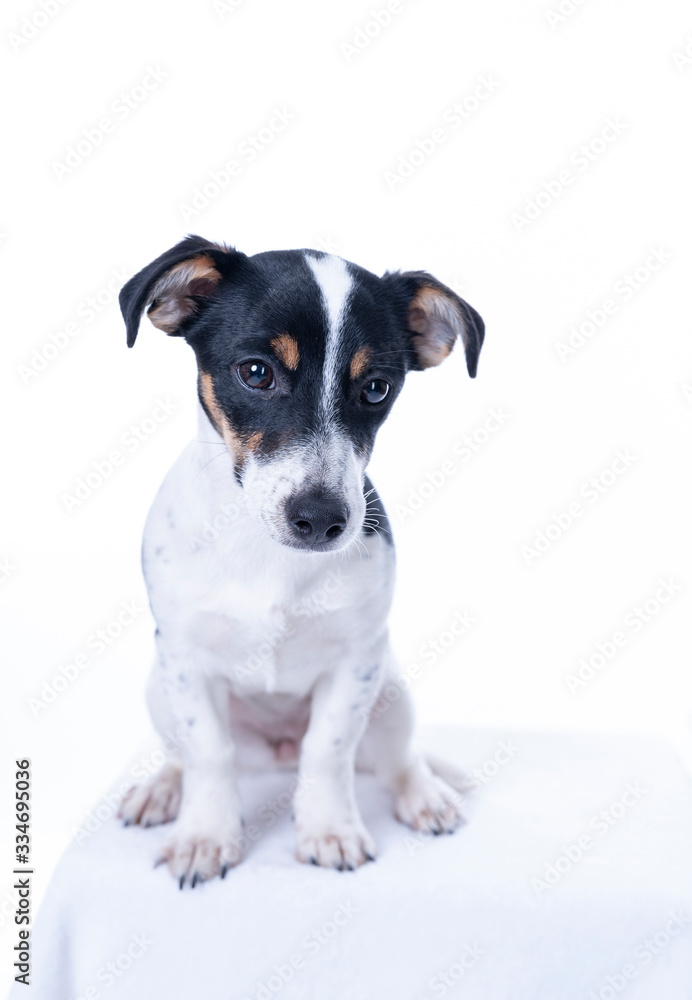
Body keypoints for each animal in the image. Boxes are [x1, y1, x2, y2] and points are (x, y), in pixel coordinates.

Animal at [116, 238, 484, 888]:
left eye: (376, 388)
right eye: (256, 372)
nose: (320, 519)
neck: (267, 554)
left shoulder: (356, 660)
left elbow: (328, 749)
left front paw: (329, 830)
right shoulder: (184, 660)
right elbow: (208, 752)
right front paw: (206, 836)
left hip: (390, 693)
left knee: (398, 758)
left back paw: (424, 795)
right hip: (158, 690)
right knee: (182, 755)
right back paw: (162, 790)